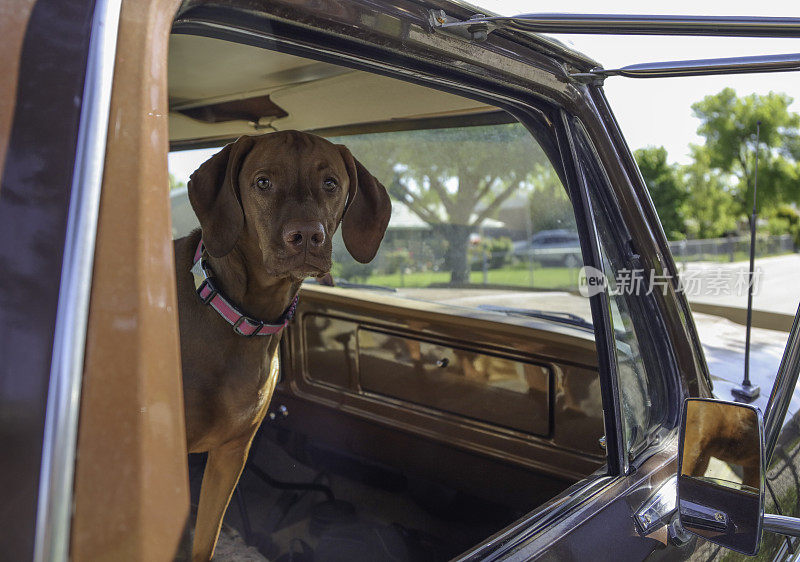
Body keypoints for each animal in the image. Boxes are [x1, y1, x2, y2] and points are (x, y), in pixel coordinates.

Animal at [173, 130, 392, 556]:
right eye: (262, 182)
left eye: (330, 183)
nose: (306, 236)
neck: (240, 314)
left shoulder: (231, 454)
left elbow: (205, 539)